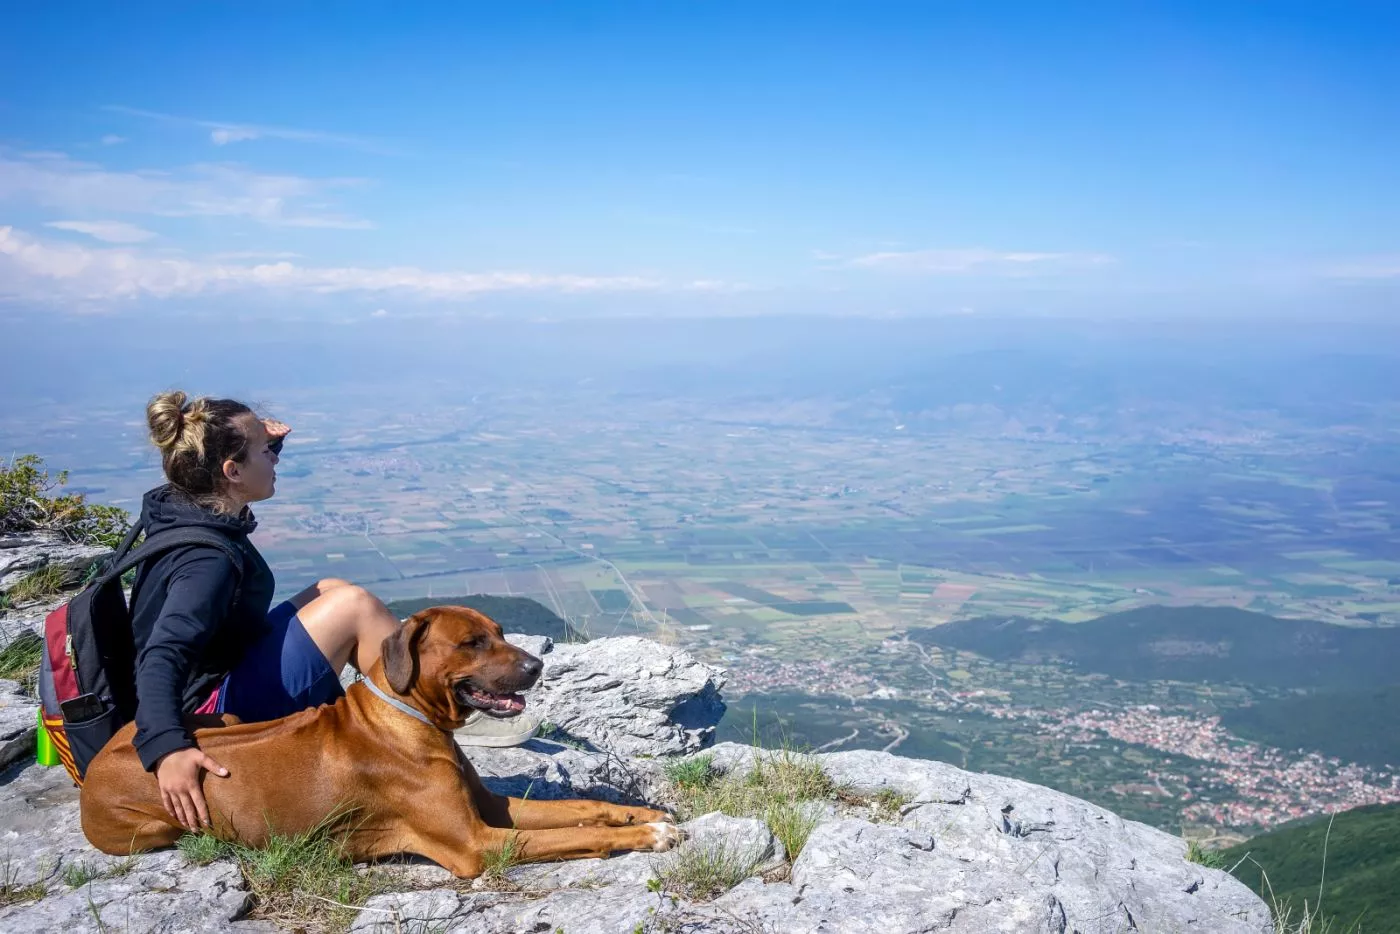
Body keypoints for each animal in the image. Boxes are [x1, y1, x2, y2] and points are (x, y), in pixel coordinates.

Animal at [81, 607, 683, 879]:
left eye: (500, 632)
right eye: (472, 642)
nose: (538, 665)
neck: (405, 718)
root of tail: (98, 761)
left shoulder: (491, 809)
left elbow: (580, 807)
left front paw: (643, 813)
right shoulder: (478, 843)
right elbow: (573, 835)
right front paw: (647, 835)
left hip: (222, 716)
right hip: (154, 828)